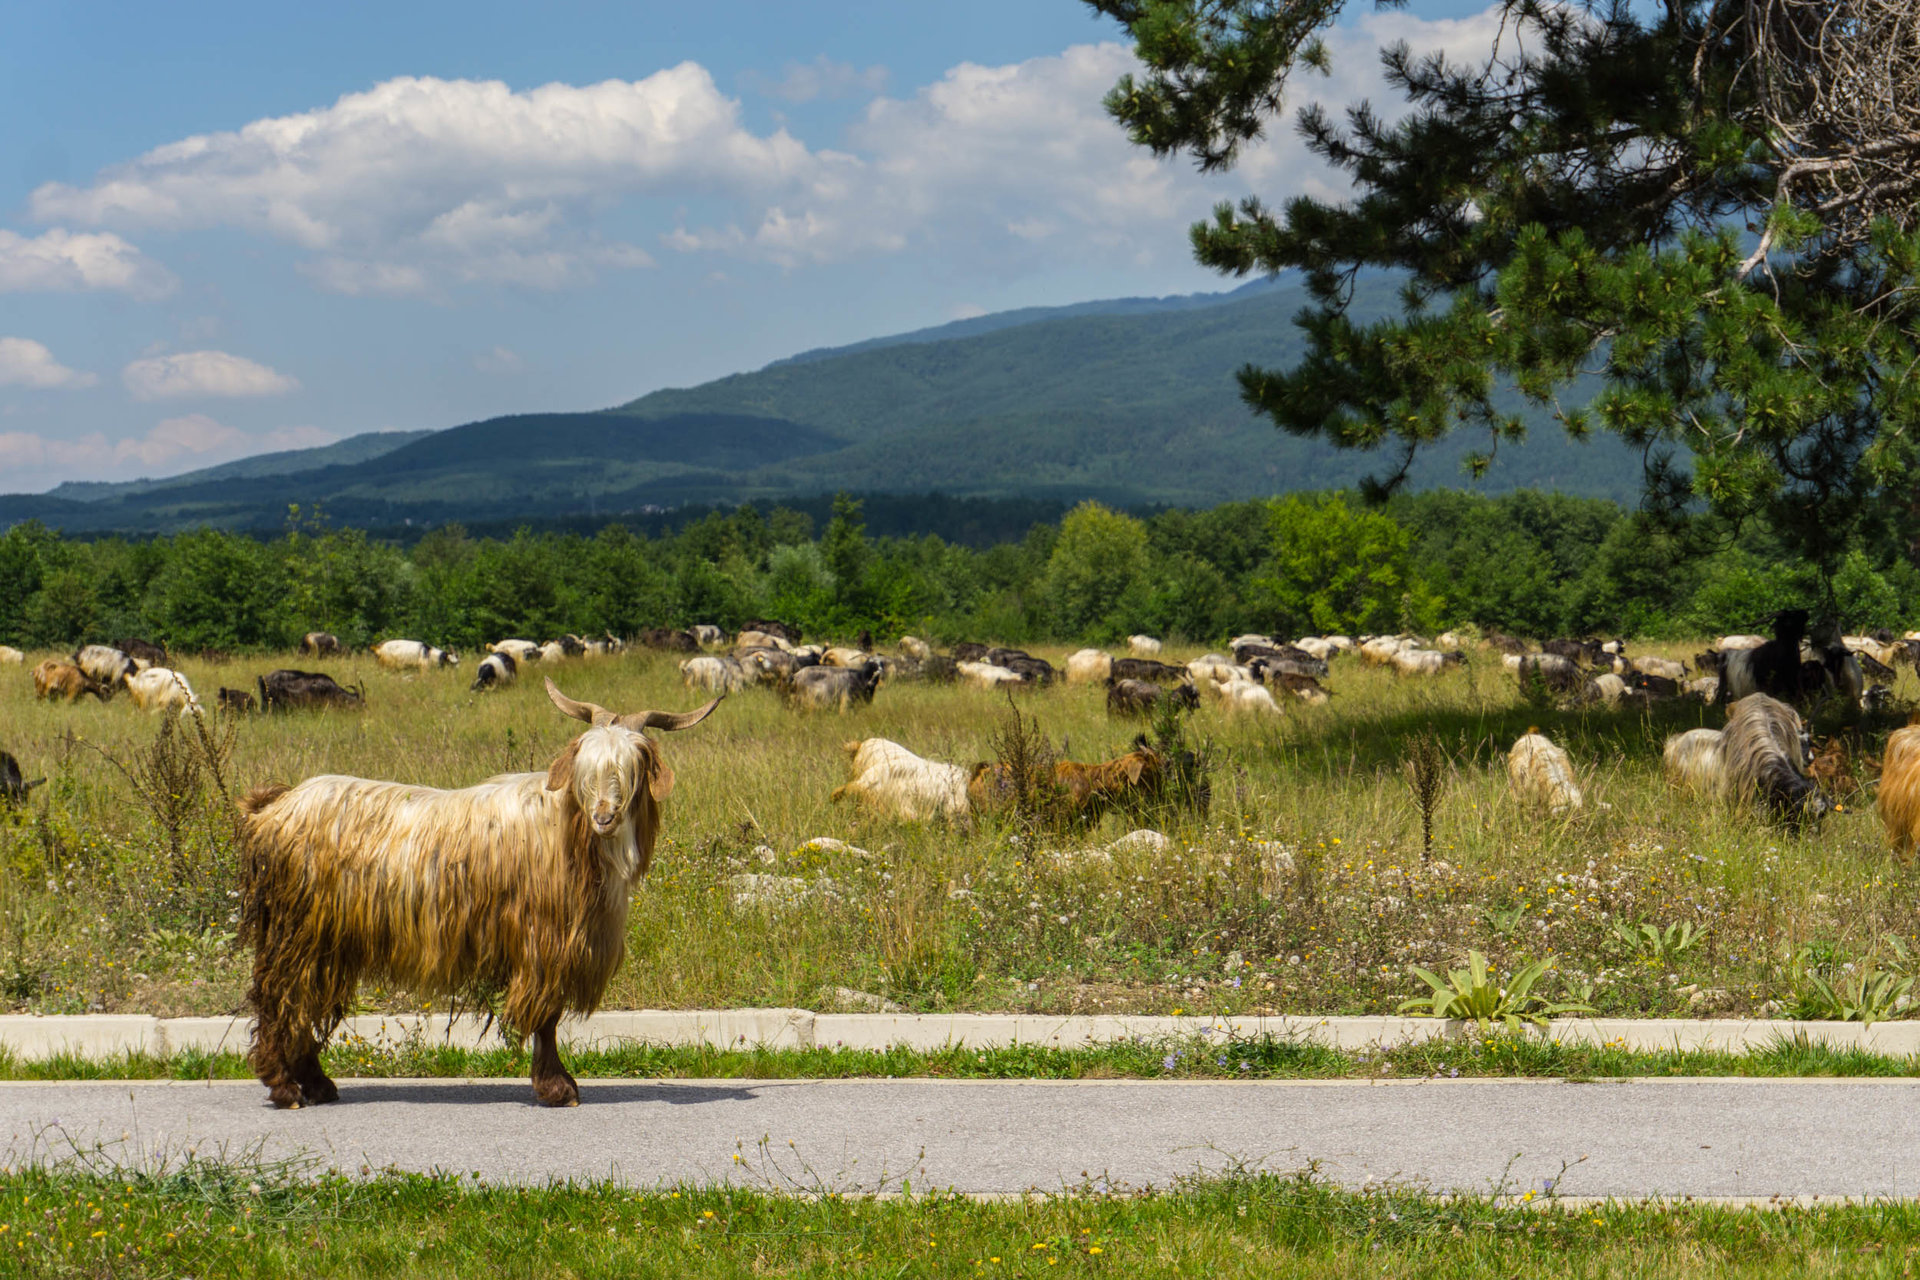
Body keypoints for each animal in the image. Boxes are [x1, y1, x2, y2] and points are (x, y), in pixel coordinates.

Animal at [240, 679, 721, 1113]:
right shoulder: (543, 944)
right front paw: (557, 1088)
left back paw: (316, 1085)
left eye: (631, 765)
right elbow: (546, 1018)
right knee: (280, 998)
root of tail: (273, 808)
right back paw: (285, 1088)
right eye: (586, 766)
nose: (604, 816)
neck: (569, 831)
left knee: (304, 1001)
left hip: (326, 941)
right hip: (297, 933)